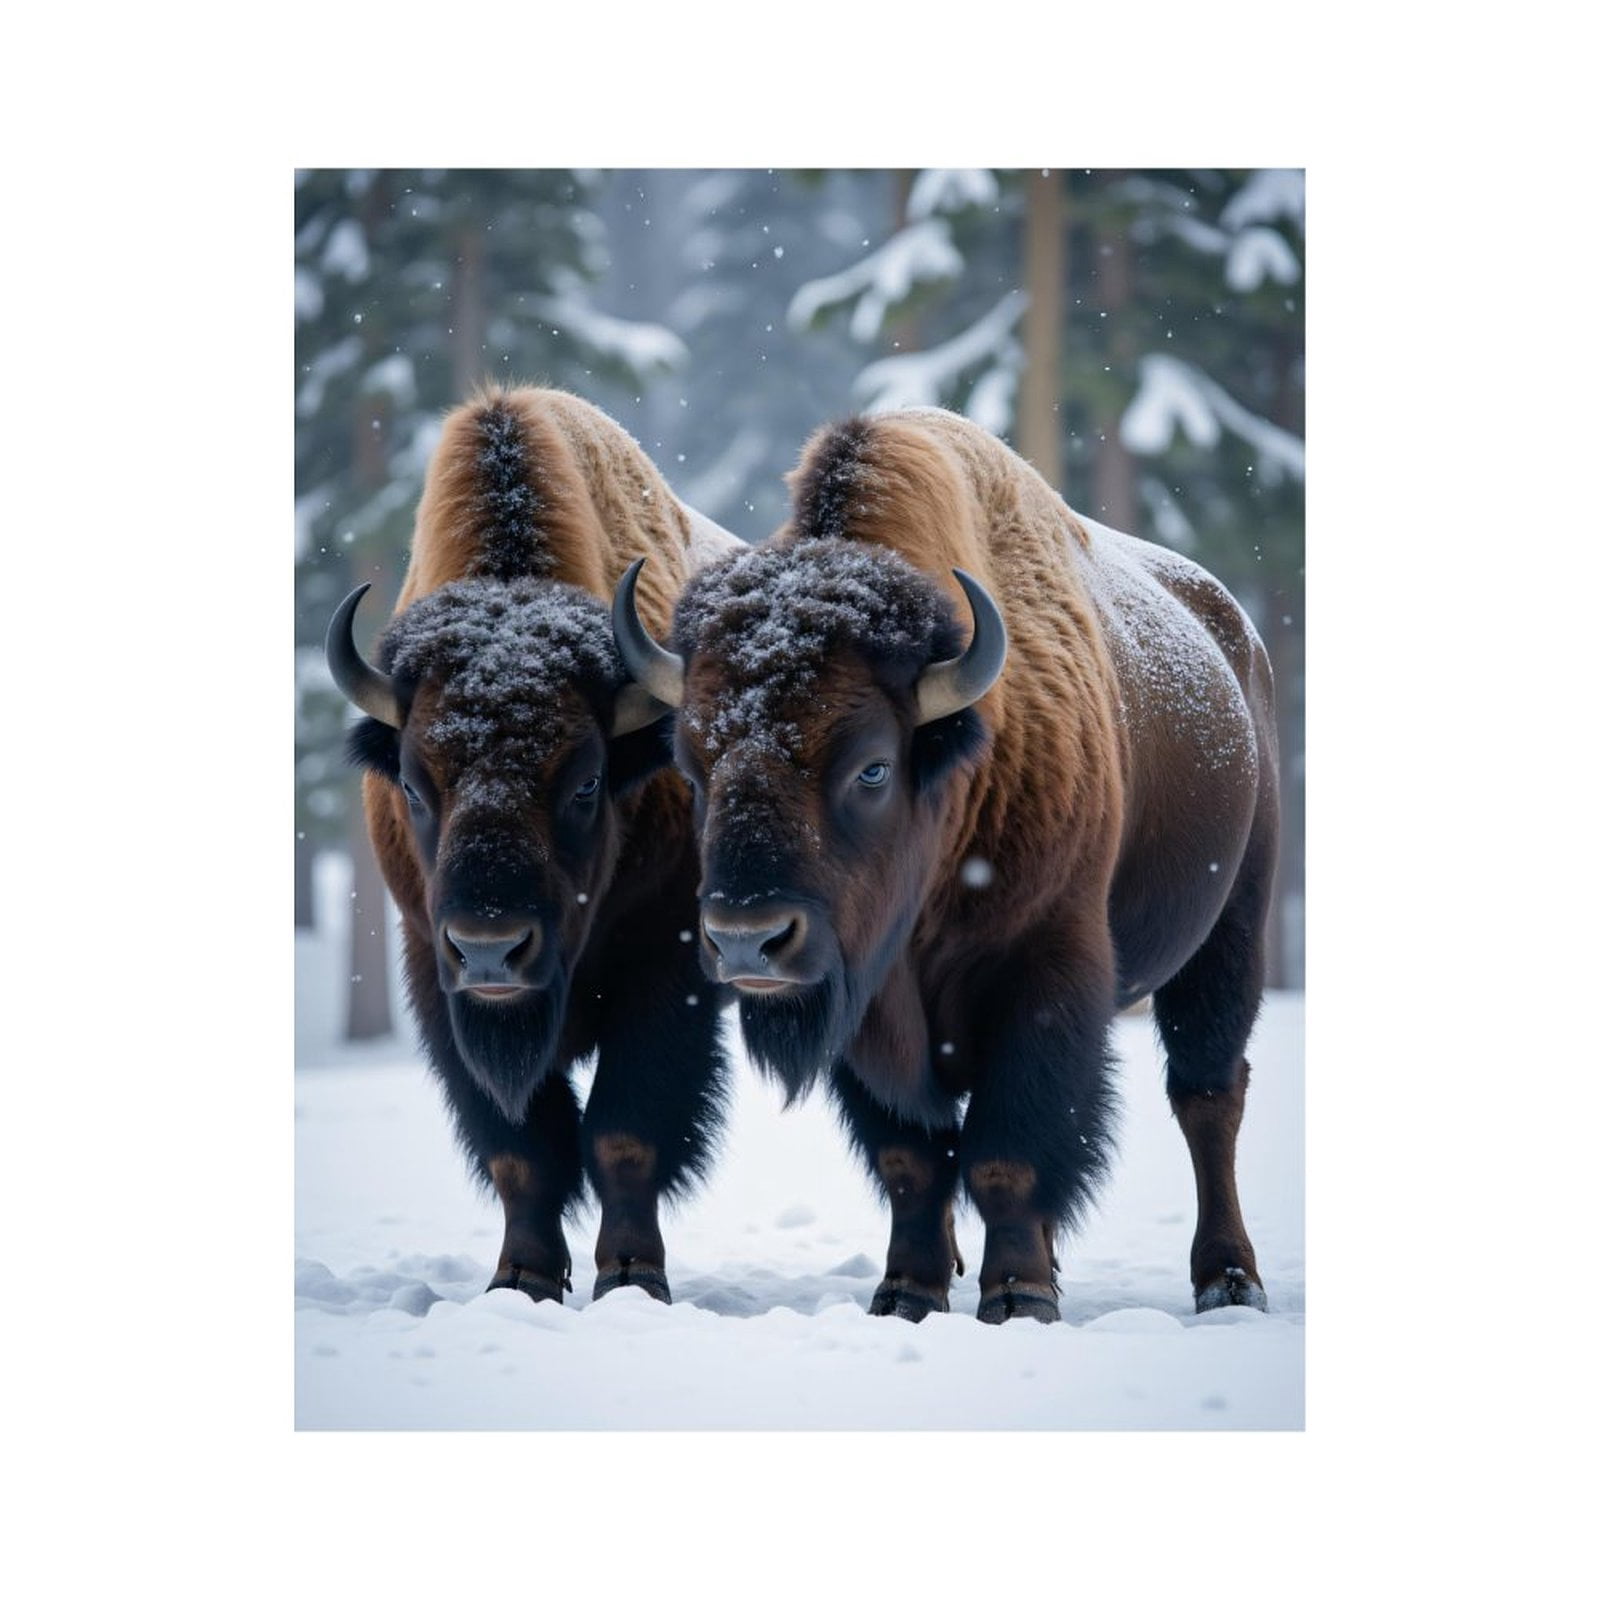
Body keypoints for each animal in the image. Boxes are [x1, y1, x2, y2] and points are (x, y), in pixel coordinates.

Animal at [327, 385, 740, 1305]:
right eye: (415, 785)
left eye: (585, 783)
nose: (491, 948)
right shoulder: (435, 976)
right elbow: (521, 1150)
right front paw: (520, 1280)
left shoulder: (666, 964)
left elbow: (625, 1132)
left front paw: (632, 1277)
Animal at [614, 408, 1278, 1324]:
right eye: (693, 761)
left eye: (871, 768)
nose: (749, 939)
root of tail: (1238, 640)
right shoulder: (862, 1004)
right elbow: (914, 1159)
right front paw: (907, 1292)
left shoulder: (1043, 976)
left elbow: (1007, 1153)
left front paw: (1019, 1296)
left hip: (1231, 932)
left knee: (1208, 1095)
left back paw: (1229, 1281)